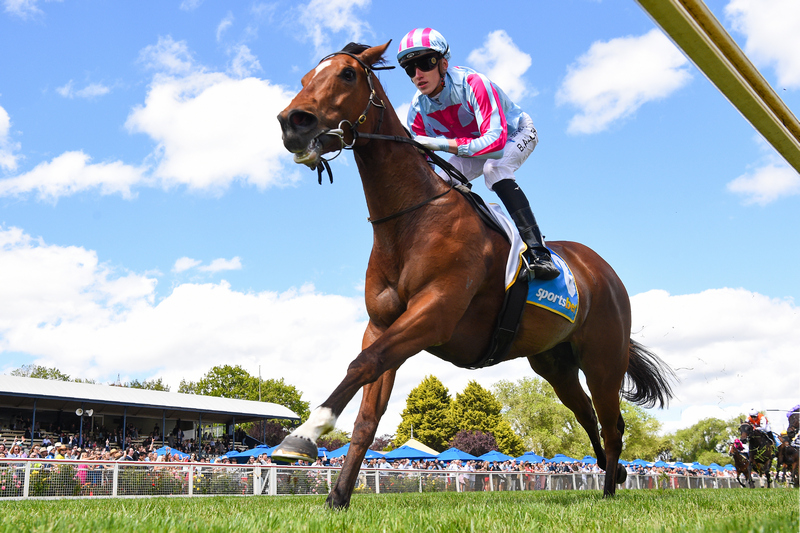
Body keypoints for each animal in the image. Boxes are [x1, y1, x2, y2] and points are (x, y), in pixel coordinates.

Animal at [274, 41, 676, 508]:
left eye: (347, 75)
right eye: (305, 79)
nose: (292, 122)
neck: (411, 219)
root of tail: (603, 271)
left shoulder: (435, 315)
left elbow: (363, 364)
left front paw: (304, 434)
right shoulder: (382, 324)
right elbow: (367, 414)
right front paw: (337, 498)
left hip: (603, 360)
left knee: (611, 424)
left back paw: (610, 488)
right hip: (555, 365)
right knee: (589, 416)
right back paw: (617, 475)